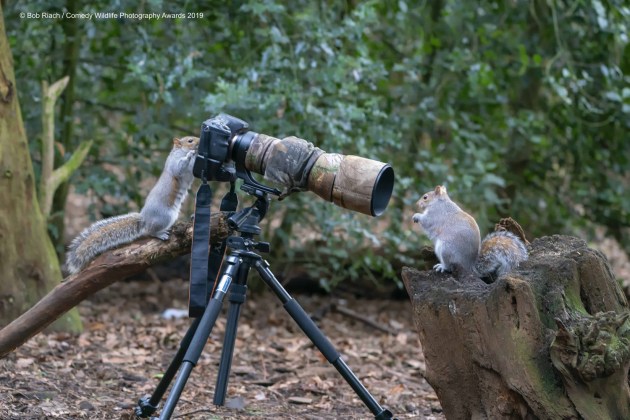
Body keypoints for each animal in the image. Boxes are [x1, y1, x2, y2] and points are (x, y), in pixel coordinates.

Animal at [65, 137, 199, 276]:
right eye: (190, 140)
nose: (198, 141)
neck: (180, 151)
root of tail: (144, 218)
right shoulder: (174, 164)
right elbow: (179, 168)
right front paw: (191, 154)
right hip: (166, 216)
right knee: (150, 230)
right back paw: (160, 234)